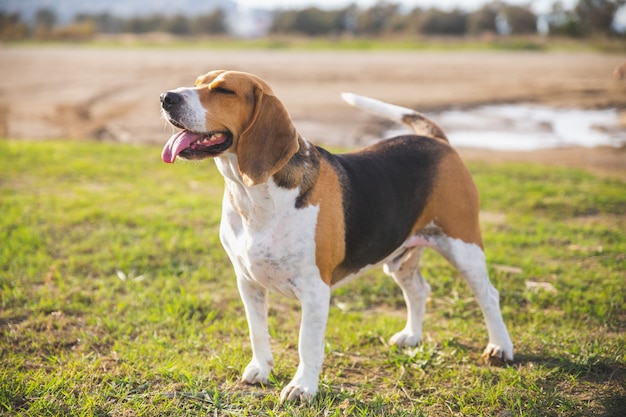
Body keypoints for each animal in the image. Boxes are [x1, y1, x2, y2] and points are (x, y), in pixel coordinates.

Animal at [157, 70, 512, 404]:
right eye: (197, 82)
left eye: (224, 90)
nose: (166, 97)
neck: (254, 195)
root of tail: (436, 141)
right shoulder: (248, 282)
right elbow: (257, 331)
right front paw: (261, 369)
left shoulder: (314, 291)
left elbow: (307, 344)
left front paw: (302, 388)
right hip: (399, 257)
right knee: (418, 290)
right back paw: (412, 336)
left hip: (463, 247)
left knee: (489, 295)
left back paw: (500, 347)